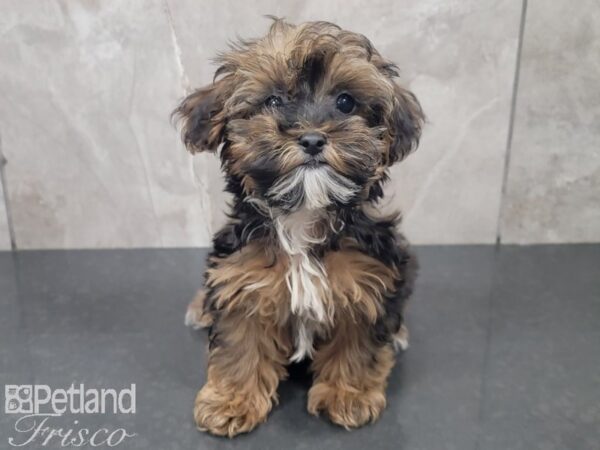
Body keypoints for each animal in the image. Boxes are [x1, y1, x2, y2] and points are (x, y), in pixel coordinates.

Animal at [176, 17, 424, 436]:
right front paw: (232, 400)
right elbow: (239, 344)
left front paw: (348, 394)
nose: (311, 138)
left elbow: (357, 342)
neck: (303, 217)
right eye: (274, 101)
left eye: (345, 102)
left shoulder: (369, 277)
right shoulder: (242, 279)